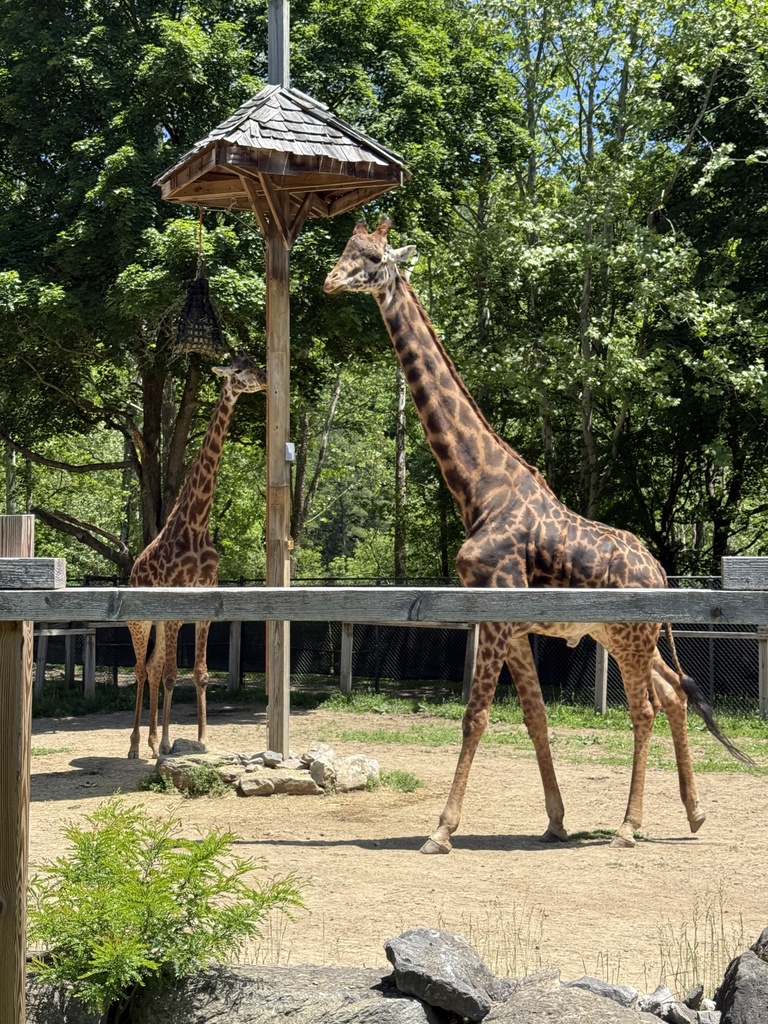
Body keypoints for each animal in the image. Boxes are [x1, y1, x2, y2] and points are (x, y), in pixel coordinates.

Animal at [127, 353, 267, 759]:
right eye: (238, 370)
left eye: (255, 362)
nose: (266, 380)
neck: (197, 523)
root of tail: (132, 571)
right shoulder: (175, 608)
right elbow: (173, 675)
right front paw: (168, 745)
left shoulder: (204, 605)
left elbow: (200, 674)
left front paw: (202, 741)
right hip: (140, 621)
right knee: (142, 670)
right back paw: (137, 745)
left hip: (159, 621)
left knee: (153, 667)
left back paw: (151, 740)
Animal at [324, 217, 751, 853]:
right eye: (345, 249)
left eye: (373, 258)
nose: (330, 280)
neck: (478, 488)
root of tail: (659, 569)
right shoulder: (514, 624)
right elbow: (534, 716)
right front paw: (555, 820)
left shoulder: (496, 613)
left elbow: (475, 716)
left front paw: (441, 831)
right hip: (624, 636)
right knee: (675, 694)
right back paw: (694, 815)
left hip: (629, 638)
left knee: (646, 708)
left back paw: (629, 827)